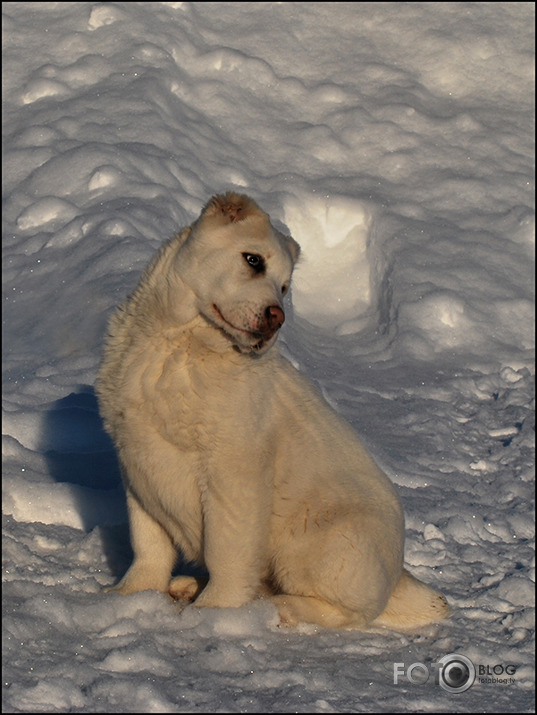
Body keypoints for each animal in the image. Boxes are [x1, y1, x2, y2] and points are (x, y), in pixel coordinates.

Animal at [96, 193, 448, 628]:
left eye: (284, 287)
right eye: (253, 260)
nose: (276, 317)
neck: (182, 344)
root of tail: (400, 579)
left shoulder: (234, 472)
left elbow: (227, 551)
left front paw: (213, 612)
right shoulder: (137, 462)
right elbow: (149, 543)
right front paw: (129, 595)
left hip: (327, 537)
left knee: (350, 612)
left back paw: (279, 609)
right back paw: (189, 586)